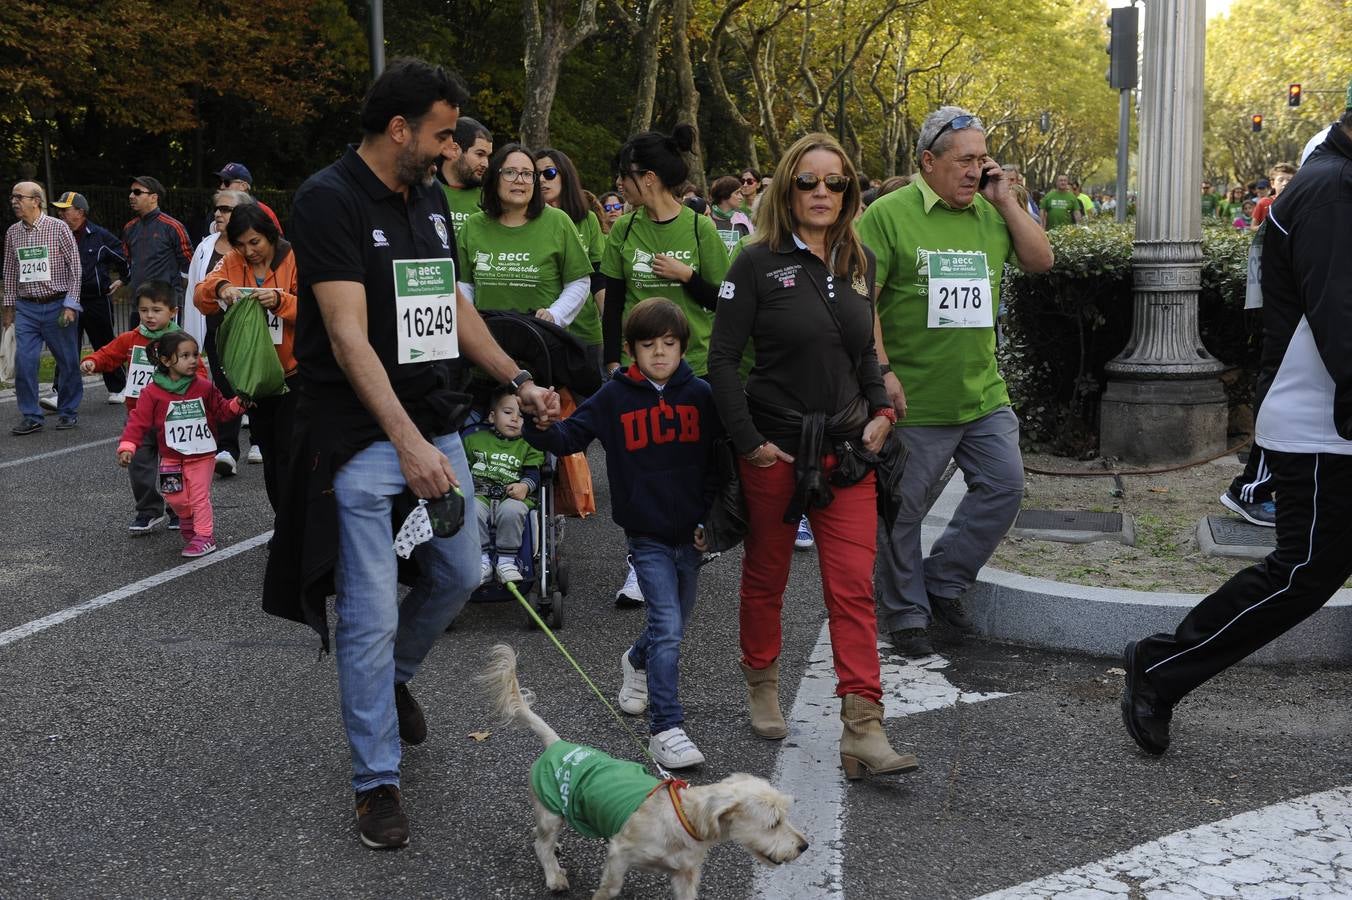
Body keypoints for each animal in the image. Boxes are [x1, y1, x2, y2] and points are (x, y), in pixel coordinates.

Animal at [481, 640, 805, 891]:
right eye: (773, 823)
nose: (804, 846)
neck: (684, 819)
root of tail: (558, 744)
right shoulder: (619, 854)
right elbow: (609, 888)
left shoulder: (685, 874)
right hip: (550, 810)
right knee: (542, 844)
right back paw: (554, 875)